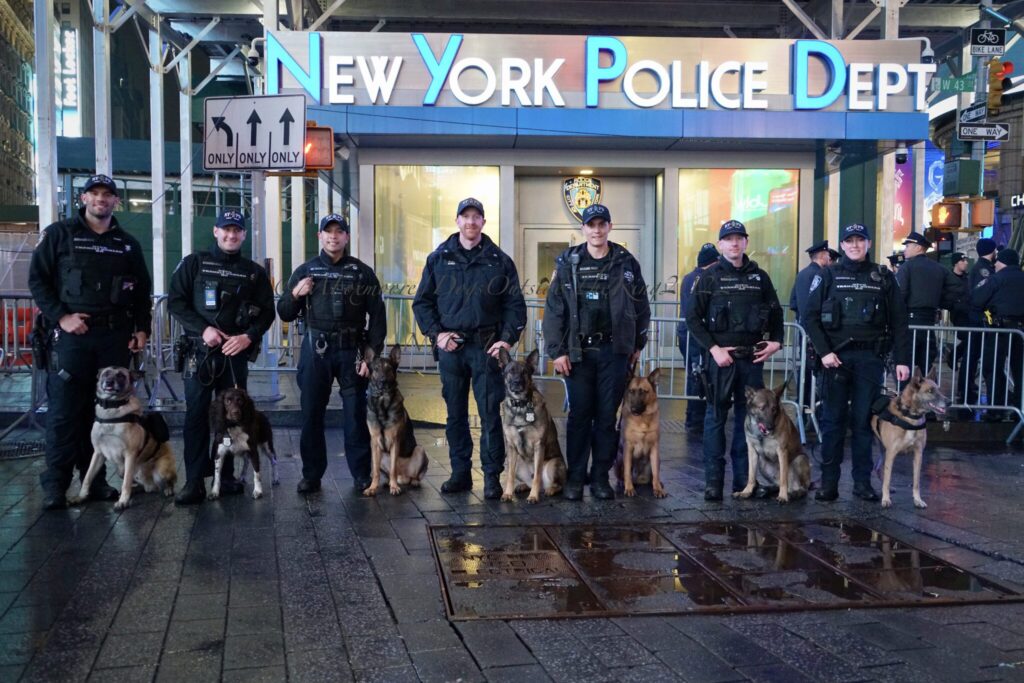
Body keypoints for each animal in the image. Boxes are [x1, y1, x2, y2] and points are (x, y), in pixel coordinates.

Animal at [72, 366, 177, 509]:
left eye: (121, 376)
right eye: (106, 374)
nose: (109, 382)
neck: (112, 410)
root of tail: (151, 484)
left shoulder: (130, 454)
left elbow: (126, 482)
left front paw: (123, 501)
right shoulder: (98, 453)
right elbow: (88, 476)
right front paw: (81, 496)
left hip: (161, 470)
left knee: (169, 481)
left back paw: (168, 489)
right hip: (121, 470)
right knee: (144, 486)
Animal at [364, 344, 428, 493]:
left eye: (388, 368)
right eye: (376, 369)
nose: (383, 382)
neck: (382, 404)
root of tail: (402, 477)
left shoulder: (394, 441)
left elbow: (393, 468)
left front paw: (394, 488)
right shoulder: (374, 443)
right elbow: (375, 471)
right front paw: (372, 488)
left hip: (420, 450)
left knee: (413, 476)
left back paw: (409, 482)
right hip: (380, 455)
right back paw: (387, 482)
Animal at [497, 348, 569, 501]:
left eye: (524, 372)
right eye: (511, 371)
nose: (517, 382)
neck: (521, 406)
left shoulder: (538, 446)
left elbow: (537, 475)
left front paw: (533, 497)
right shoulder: (511, 447)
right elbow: (510, 476)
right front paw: (507, 493)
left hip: (553, 464)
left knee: (555, 484)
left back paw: (549, 490)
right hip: (516, 462)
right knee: (526, 480)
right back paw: (523, 486)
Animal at [610, 368, 667, 497]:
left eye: (643, 392)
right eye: (631, 391)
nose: (634, 409)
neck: (642, 420)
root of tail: (640, 480)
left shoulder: (655, 448)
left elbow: (656, 473)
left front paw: (657, 489)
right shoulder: (628, 447)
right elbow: (627, 471)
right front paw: (629, 488)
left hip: (658, 459)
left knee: (653, 475)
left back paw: (657, 483)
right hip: (618, 459)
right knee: (623, 474)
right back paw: (623, 482)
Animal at [872, 368, 950, 507]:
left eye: (939, 390)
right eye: (930, 391)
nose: (949, 402)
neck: (910, 417)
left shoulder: (918, 454)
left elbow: (916, 481)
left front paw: (917, 500)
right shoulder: (891, 453)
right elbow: (888, 477)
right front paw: (886, 499)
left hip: (883, 450)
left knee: (877, 467)